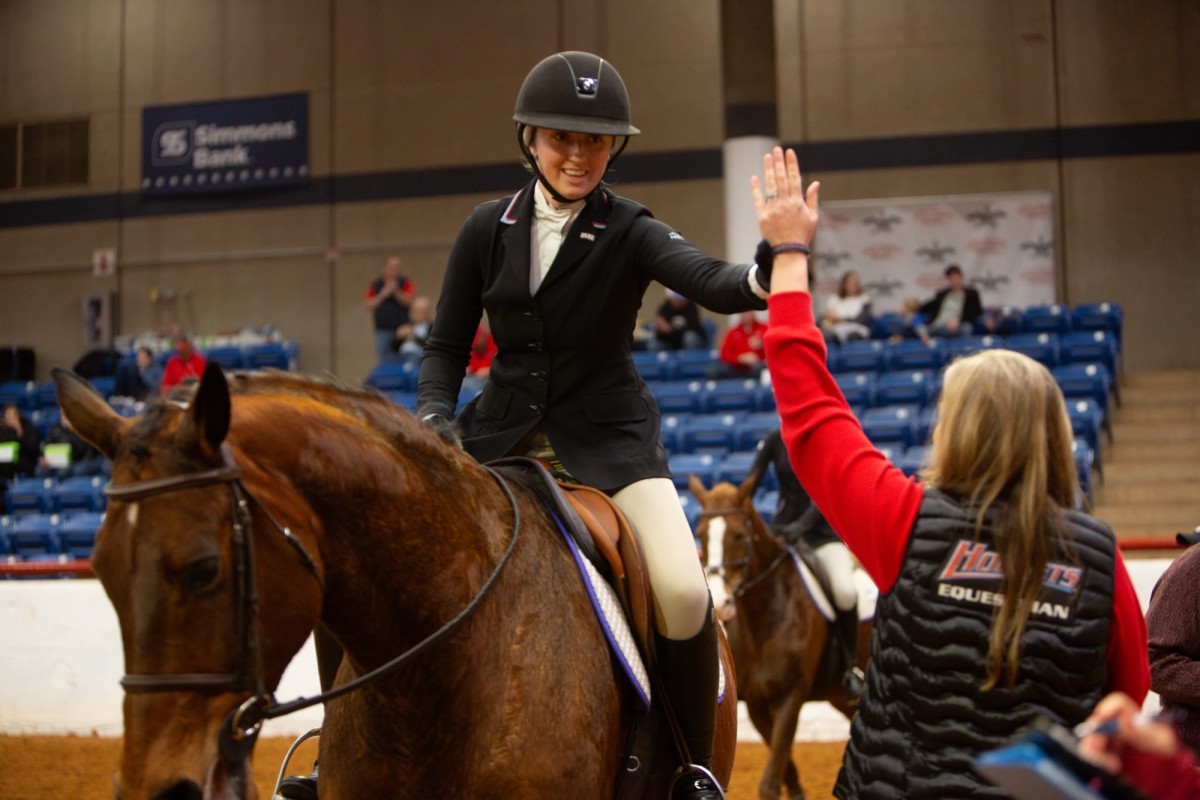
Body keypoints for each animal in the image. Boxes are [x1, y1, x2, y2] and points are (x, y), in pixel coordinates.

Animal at [691, 474, 868, 800]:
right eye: (701, 534)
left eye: (738, 535)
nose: (721, 601)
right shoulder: (757, 703)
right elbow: (787, 773)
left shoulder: (791, 695)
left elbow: (770, 782)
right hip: (840, 697)